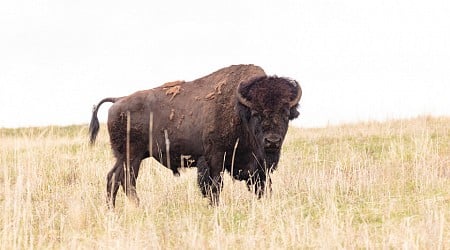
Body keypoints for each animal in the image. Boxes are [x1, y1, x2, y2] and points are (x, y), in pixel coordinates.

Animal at [89, 64, 300, 207]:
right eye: (256, 113)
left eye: (286, 112)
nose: (272, 141)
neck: (240, 110)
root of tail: (118, 100)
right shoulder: (214, 159)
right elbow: (214, 186)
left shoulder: (258, 167)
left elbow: (262, 186)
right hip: (131, 156)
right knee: (125, 181)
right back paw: (135, 207)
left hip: (126, 157)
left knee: (114, 179)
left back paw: (112, 210)